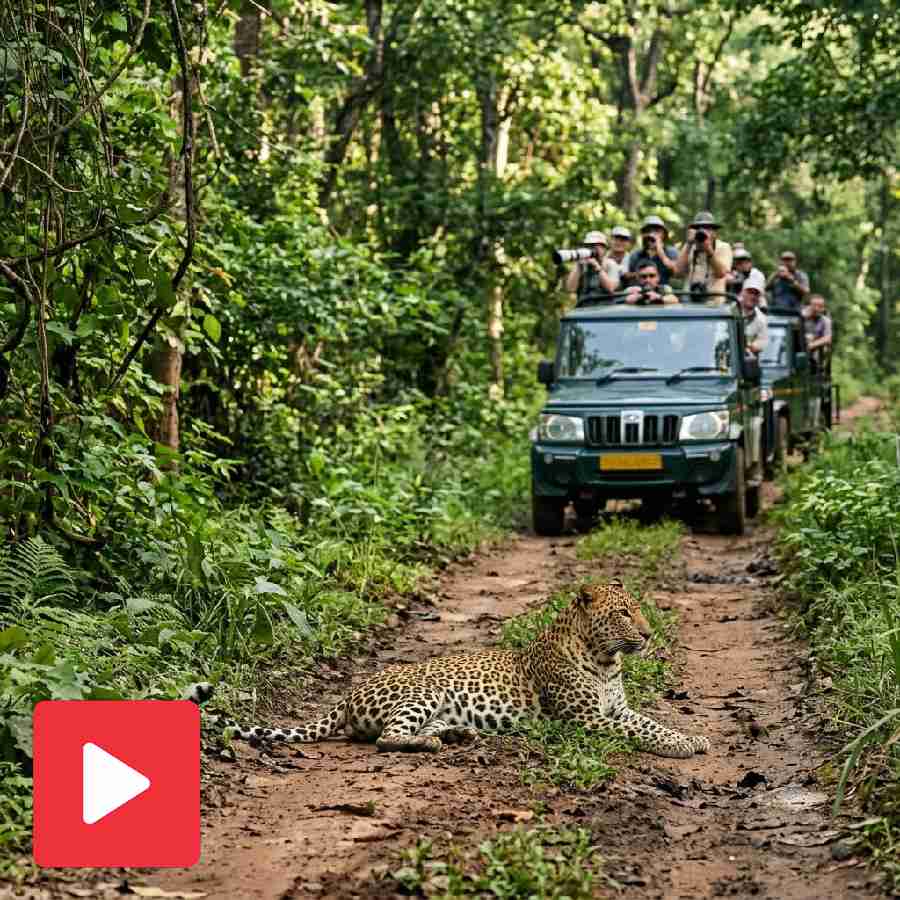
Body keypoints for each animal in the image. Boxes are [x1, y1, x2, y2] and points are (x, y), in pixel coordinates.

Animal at [220, 581, 710, 759]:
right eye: (625, 613)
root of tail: (347, 694)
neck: (606, 660)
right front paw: (682, 747)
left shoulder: (616, 709)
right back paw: (434, 743)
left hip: (436, 707)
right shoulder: (588, 718)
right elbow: (639, 733)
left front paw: (692, 738)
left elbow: (652, 724)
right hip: (424, 693)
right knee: (387, 738)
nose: (647, 634)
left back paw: (457, 735)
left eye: (638, 610)